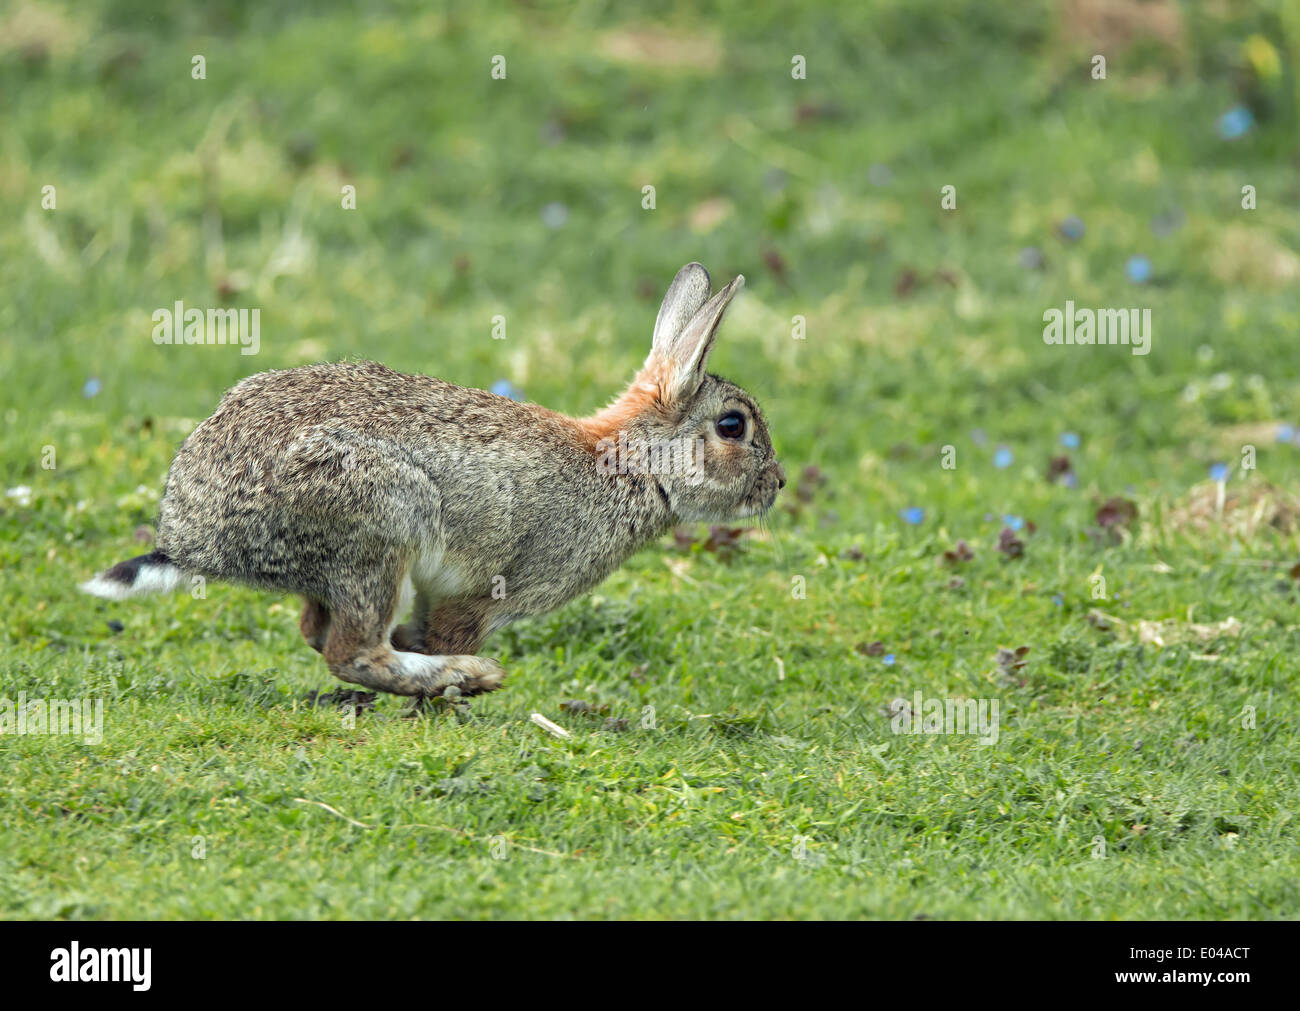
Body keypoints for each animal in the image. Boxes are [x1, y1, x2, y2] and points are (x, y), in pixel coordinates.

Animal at [81, 262, 785, 700]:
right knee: (352, 652)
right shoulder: (483, 595)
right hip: (380, 522)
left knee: (320, 631)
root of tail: (193, 539)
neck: (632, 464)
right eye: (733, 426)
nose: (776, 483)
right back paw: (468, 677)